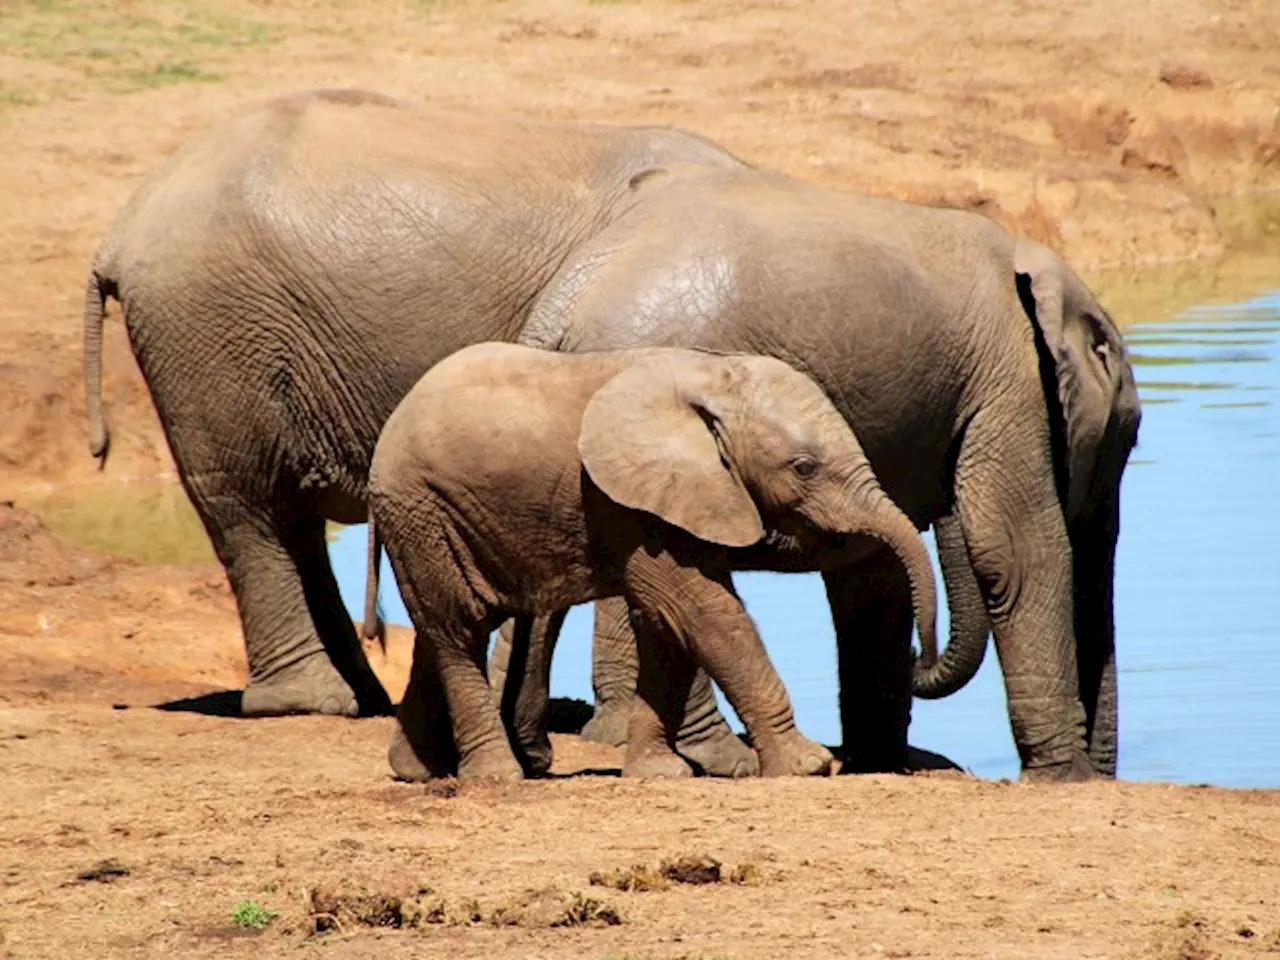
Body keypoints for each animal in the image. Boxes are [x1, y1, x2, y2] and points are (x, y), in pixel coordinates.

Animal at [85, 88, 747, 721]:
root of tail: (120, 230)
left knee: (290, 516)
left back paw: (364, 698)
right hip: (210, 330)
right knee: (247, 503)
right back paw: (312, 701)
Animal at [366, 343, 936, 783]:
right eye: (803, 468)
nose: (920, 663)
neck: (713, 378)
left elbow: (668, 627)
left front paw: (659, 774)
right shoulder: (627, 502)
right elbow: (702, 612)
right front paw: (807, 767)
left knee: (441, 629)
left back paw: (418, 770)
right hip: (419, 507)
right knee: (458, 631)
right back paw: (496, 776)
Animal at [491, 167, 1152, 783]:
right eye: (1128, 440)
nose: (923, 655)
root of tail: (561, 305)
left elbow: (873, 571)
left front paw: (880, 762)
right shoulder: (1009, 382)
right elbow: (1015, 548)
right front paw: (1067, 780)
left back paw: (529, 753)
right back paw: (720, 757)